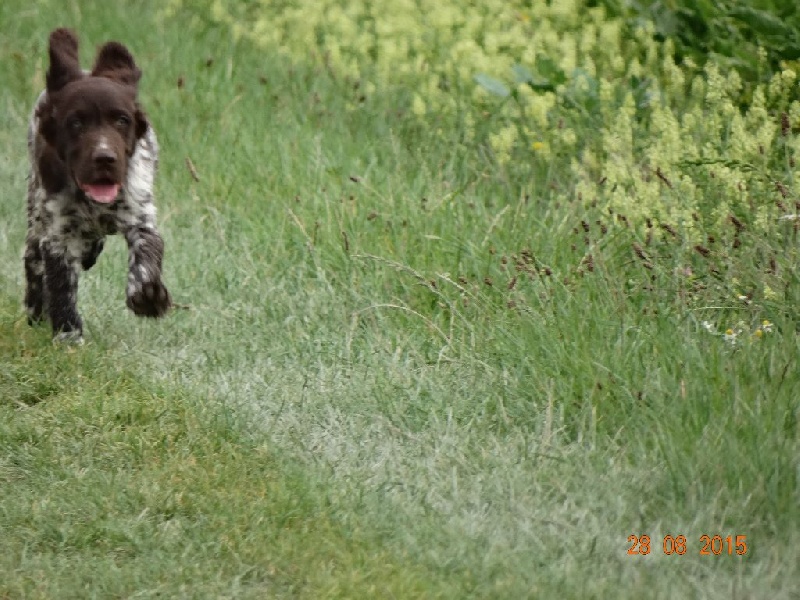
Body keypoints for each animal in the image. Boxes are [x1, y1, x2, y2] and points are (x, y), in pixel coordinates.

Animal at [24, 29, 170, 342]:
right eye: (76, 123)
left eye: (122, 120)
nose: (105, 157)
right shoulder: (57, 235)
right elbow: (61, 286)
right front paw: (68, 336)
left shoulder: (140, 215)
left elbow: (146, 255)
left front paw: (148, 297)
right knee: (33, 262)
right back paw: (35, 311)